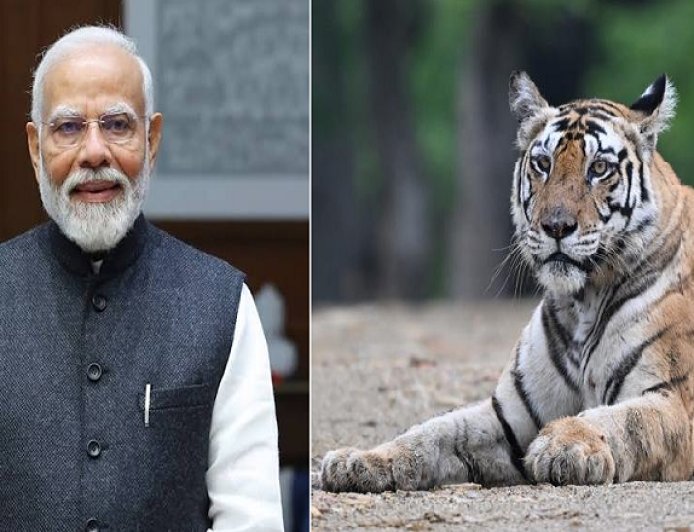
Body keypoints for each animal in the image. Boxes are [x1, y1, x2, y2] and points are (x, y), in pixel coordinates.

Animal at [320, 71, 694, 491]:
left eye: (599, 168)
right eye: (543, 164)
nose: (556, 226)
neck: (581, 301)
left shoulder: (673, 401)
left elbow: (619, 421)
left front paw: (563, 446)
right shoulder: (511, 414)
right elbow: (433, 431)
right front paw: (359, 460)